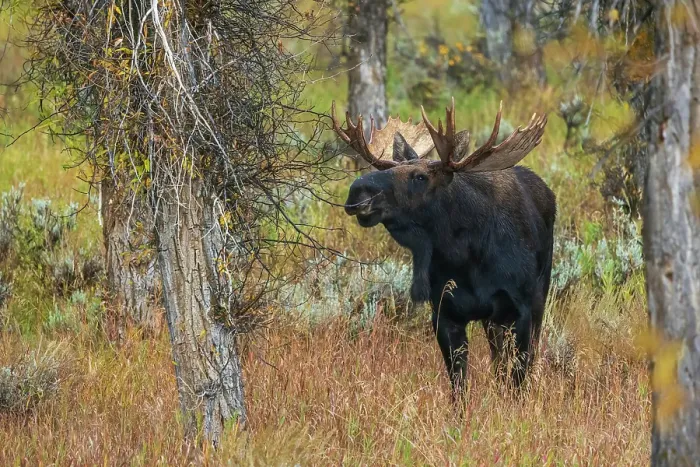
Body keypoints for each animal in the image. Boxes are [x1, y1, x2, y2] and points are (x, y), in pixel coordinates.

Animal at [331, 98, 555, 395]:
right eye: (386, 169)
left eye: (420, 177)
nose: (357, 192)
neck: (465, 259)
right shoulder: (444, 314)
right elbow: (459, 386)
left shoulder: (522, 309)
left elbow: (518, 378)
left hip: (539, 294)